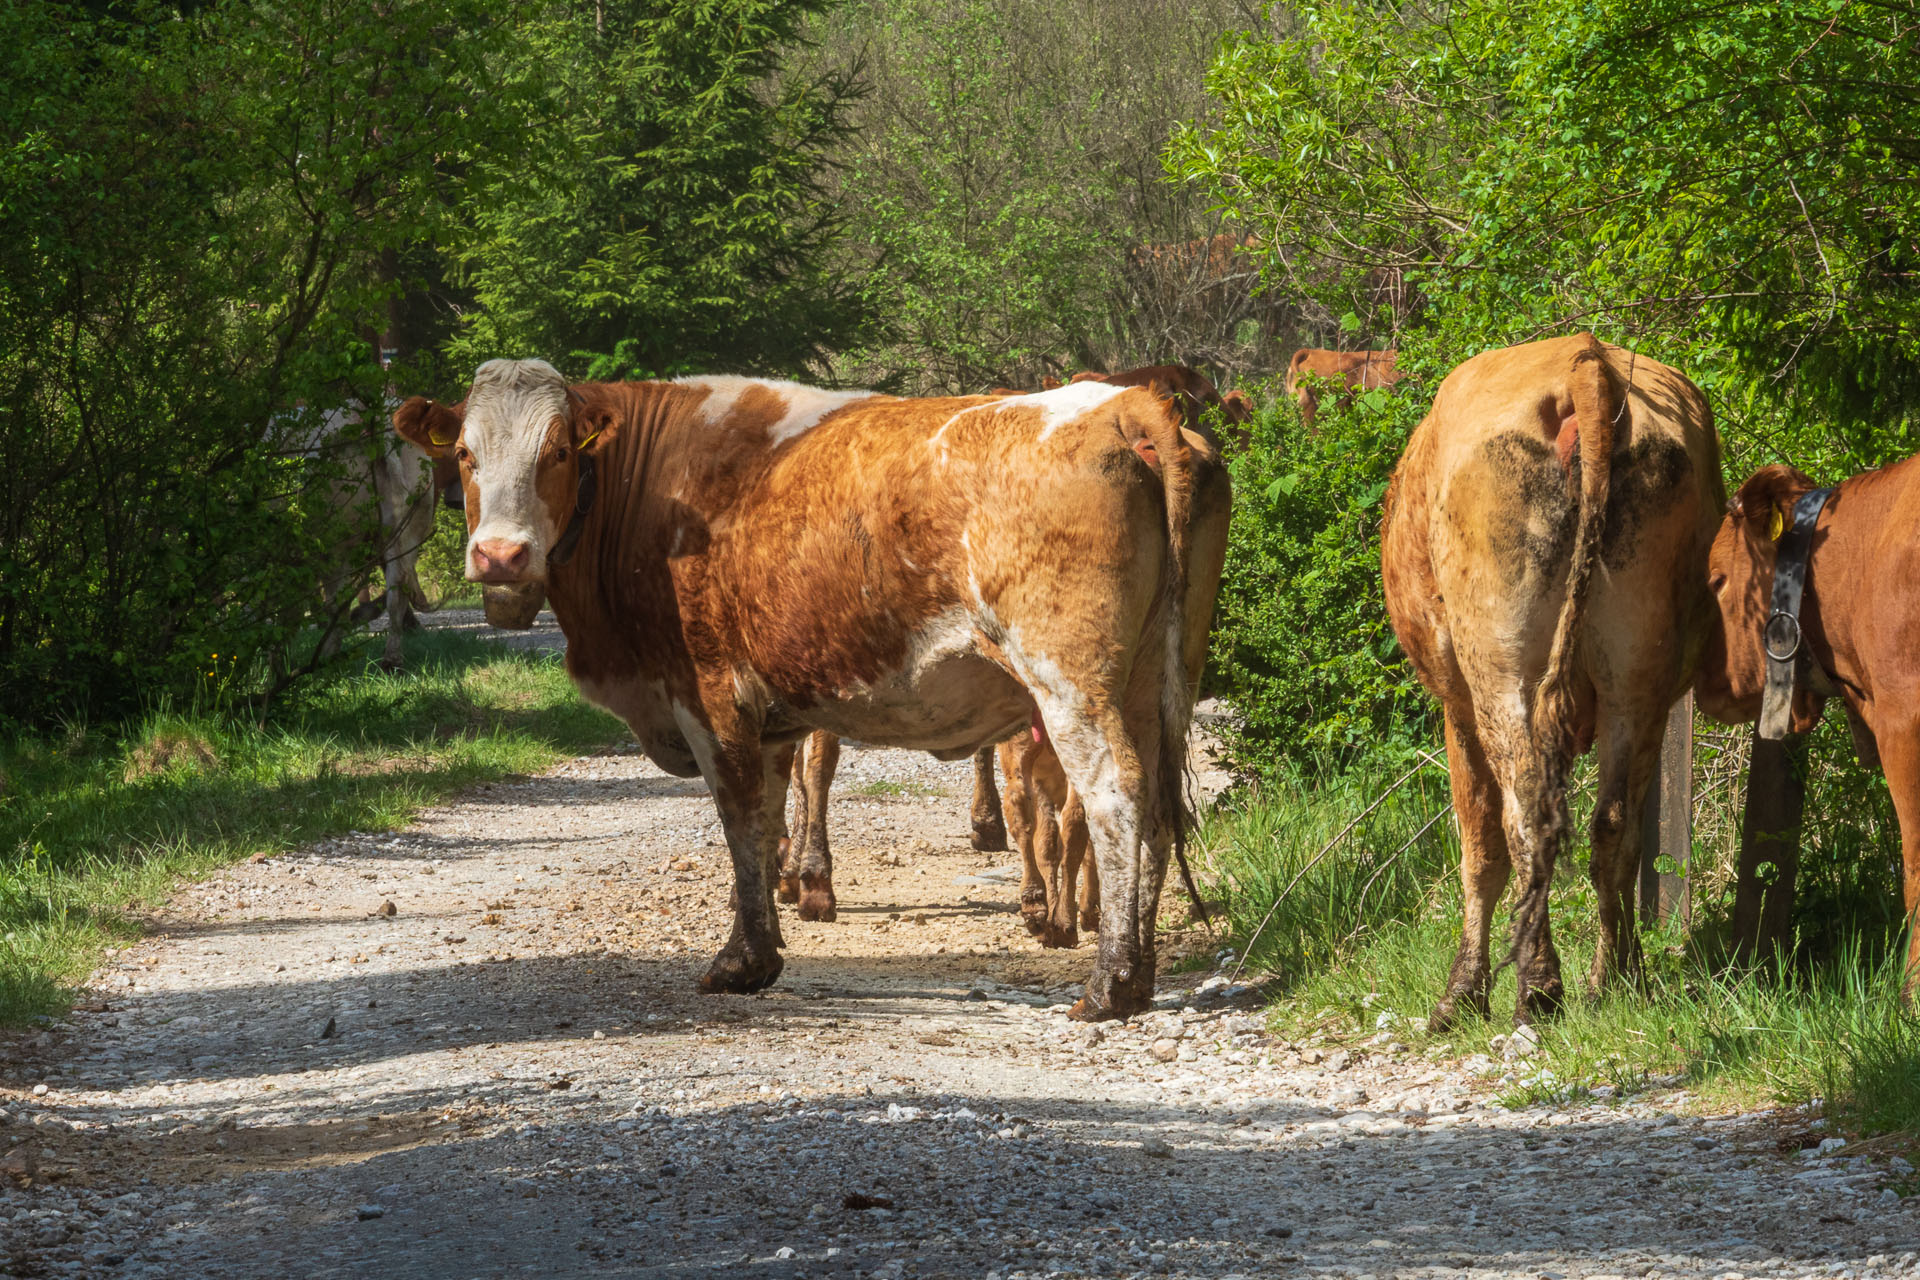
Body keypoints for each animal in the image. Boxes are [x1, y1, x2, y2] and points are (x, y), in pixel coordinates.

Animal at [393, 360, 1228, 1020]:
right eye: (464, 454)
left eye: (559, 451)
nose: (500, 556)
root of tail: (1119, 402)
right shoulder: (769, 720)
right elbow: (767, 824)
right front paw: (764, 944)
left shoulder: (712, 697)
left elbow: (740, 822)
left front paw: (742, 961)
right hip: (1157, 678)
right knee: (1159, 806)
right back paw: (1139, 977)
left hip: (1070, 683)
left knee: (1115, 796)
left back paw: (1109, 984)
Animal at [1382, 335, 1728, 1028]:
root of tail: (1585, 363)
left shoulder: (1457, 708)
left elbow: (1479, 846)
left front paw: (1462, 992)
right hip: (1637, 674)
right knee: (1614, 828)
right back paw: (1615, 977)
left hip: (1501, 673)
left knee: (1525, 821)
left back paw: (1538, 987)